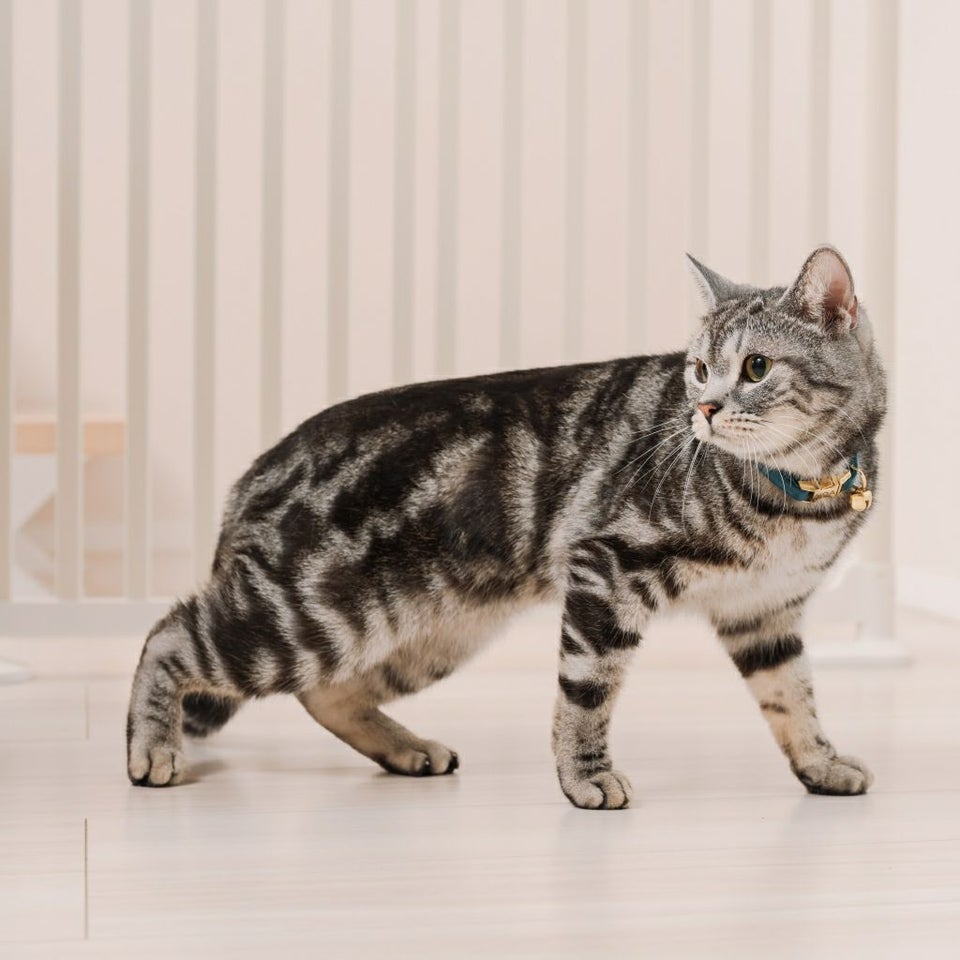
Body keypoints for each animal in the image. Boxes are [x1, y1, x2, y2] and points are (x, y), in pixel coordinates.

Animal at [126, 245, 885, 809]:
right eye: (698, 369)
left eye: (755, 366)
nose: (703, 409)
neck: (798, 496)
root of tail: (251, 475)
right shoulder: (606, 568)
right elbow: (586, 692)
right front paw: (584, 777)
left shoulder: (764, 613)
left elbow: (794, 699)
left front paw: (820, 764)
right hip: (307, 616)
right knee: (170, 634)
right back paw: (151, 747)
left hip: (428, 633)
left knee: (326, 692)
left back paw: (406, 749)